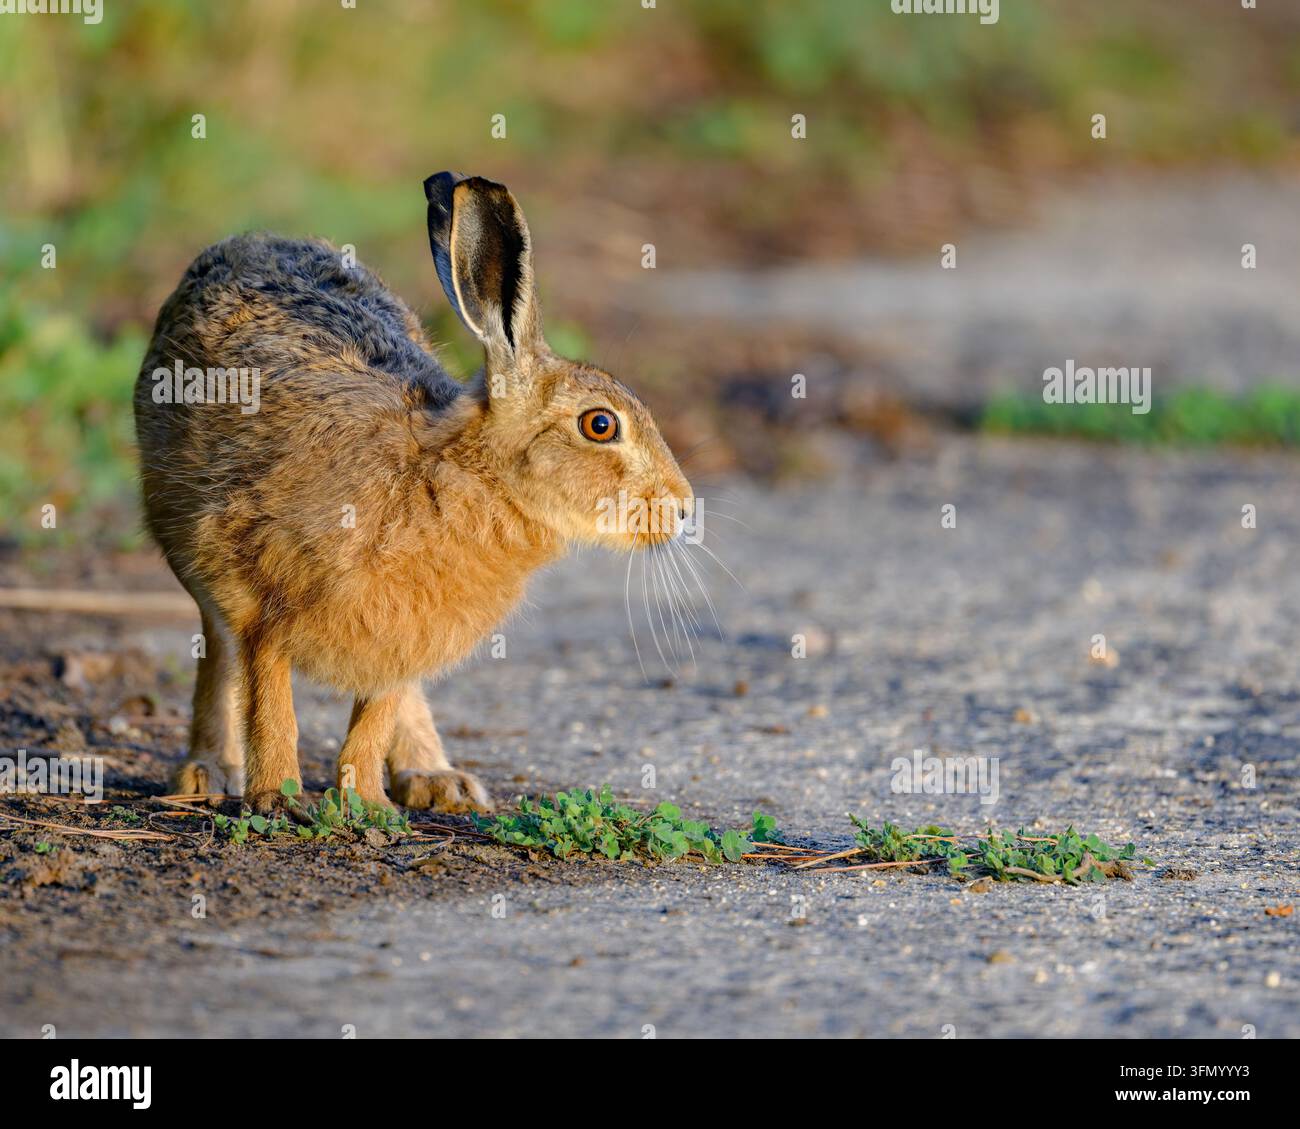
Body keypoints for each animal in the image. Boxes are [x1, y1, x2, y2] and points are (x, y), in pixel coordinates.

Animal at [134, 171, 694, 816]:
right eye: (600, 425)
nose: (682, 507)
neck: (458, 477)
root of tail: (251, 241)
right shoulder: (262, 598)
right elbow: (272, 702)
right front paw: (278, 796)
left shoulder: (406, 633)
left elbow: (378, 713)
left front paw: (365, 805)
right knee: (218, 652)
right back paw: (206, 771)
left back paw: (437, 779)